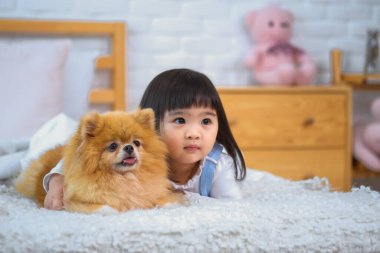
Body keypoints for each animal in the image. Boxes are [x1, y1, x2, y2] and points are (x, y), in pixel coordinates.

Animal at [13, 108, 183, 213]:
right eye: (113, 146)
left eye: (136, 143)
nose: (129, 147)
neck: (124, 178)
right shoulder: (75, 203)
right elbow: (107, 209)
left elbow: (161, 201)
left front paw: (173, 202)